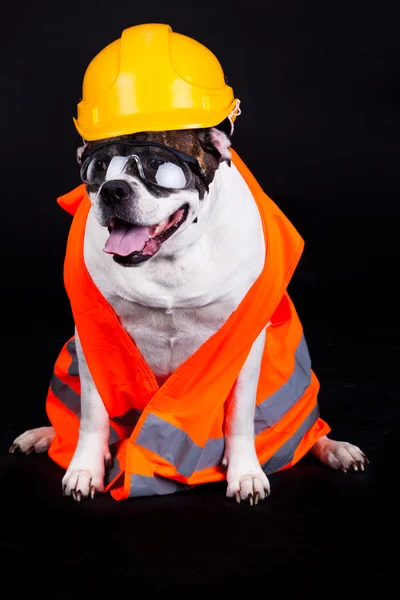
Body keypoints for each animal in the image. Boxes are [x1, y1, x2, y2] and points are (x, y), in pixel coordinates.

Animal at [10, 123, 368, 502]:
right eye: (99, 168)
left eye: (157, 165)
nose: (113, 189)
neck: (170, 258)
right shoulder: (95, 334)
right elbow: (93, 414)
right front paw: (84, 470)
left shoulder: (243, 342)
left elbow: (240, 416)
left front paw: (246, 474)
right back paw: (42, 435)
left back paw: (334, 448)